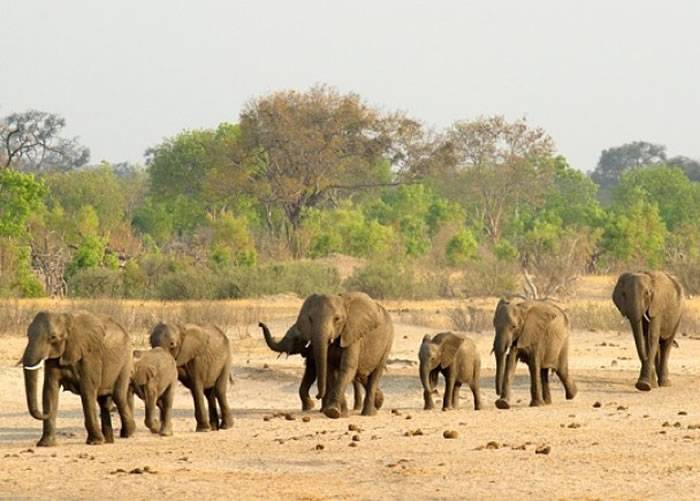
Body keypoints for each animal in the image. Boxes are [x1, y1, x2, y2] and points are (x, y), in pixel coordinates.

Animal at [21, 310, 137, 448]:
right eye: (28, 335)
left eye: (53, 337)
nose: (45, 413)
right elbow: (50, 390)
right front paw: (46, 444)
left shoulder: (90, 355)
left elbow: (87, 390)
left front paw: (95, 442)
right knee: (103, 402)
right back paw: (109, 441)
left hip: (126, 360)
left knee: (118, 396)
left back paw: (128, 433)